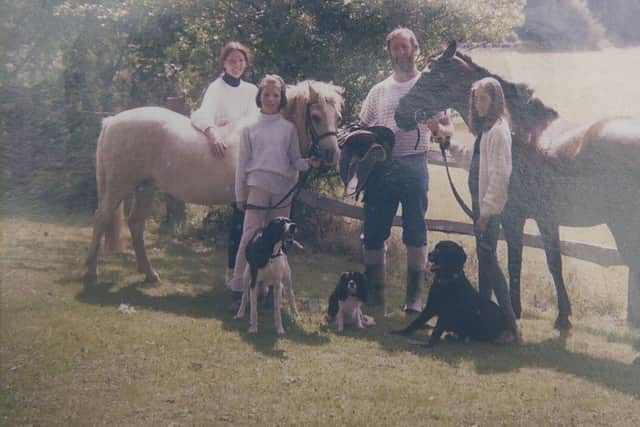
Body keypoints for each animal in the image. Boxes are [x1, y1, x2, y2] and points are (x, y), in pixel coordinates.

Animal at [86, 80, 344, 284]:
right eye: (316, 116)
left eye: (337, 117)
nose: (332, 155)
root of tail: (111, 121)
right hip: (119, 186)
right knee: (101, 218)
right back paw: (91, 273)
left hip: (145, 187)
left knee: (135, 224)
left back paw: (149, 273)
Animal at [396, 41, 640, 330]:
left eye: (432, 74)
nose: (400, 112)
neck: (516, 131)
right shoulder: (546, 219)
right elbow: (553, 262)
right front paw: (563, 317)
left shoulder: (512, 216)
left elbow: (513, 262)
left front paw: (514, 310)